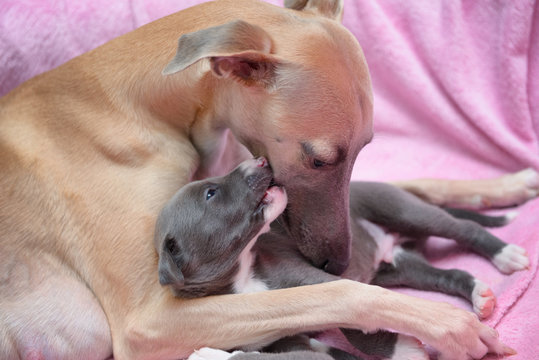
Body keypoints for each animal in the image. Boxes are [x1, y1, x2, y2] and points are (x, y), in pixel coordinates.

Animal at [154, 158, 528, 360]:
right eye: (211, 193)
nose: (259, 160)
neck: (243, 275)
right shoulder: (286, 338)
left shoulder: (317, 280)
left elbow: (355, 320)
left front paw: (403, 348)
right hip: (398, 268)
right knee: (448, 274)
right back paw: (480, 294)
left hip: (403, 210)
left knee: (464, 228)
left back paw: (506, 255)